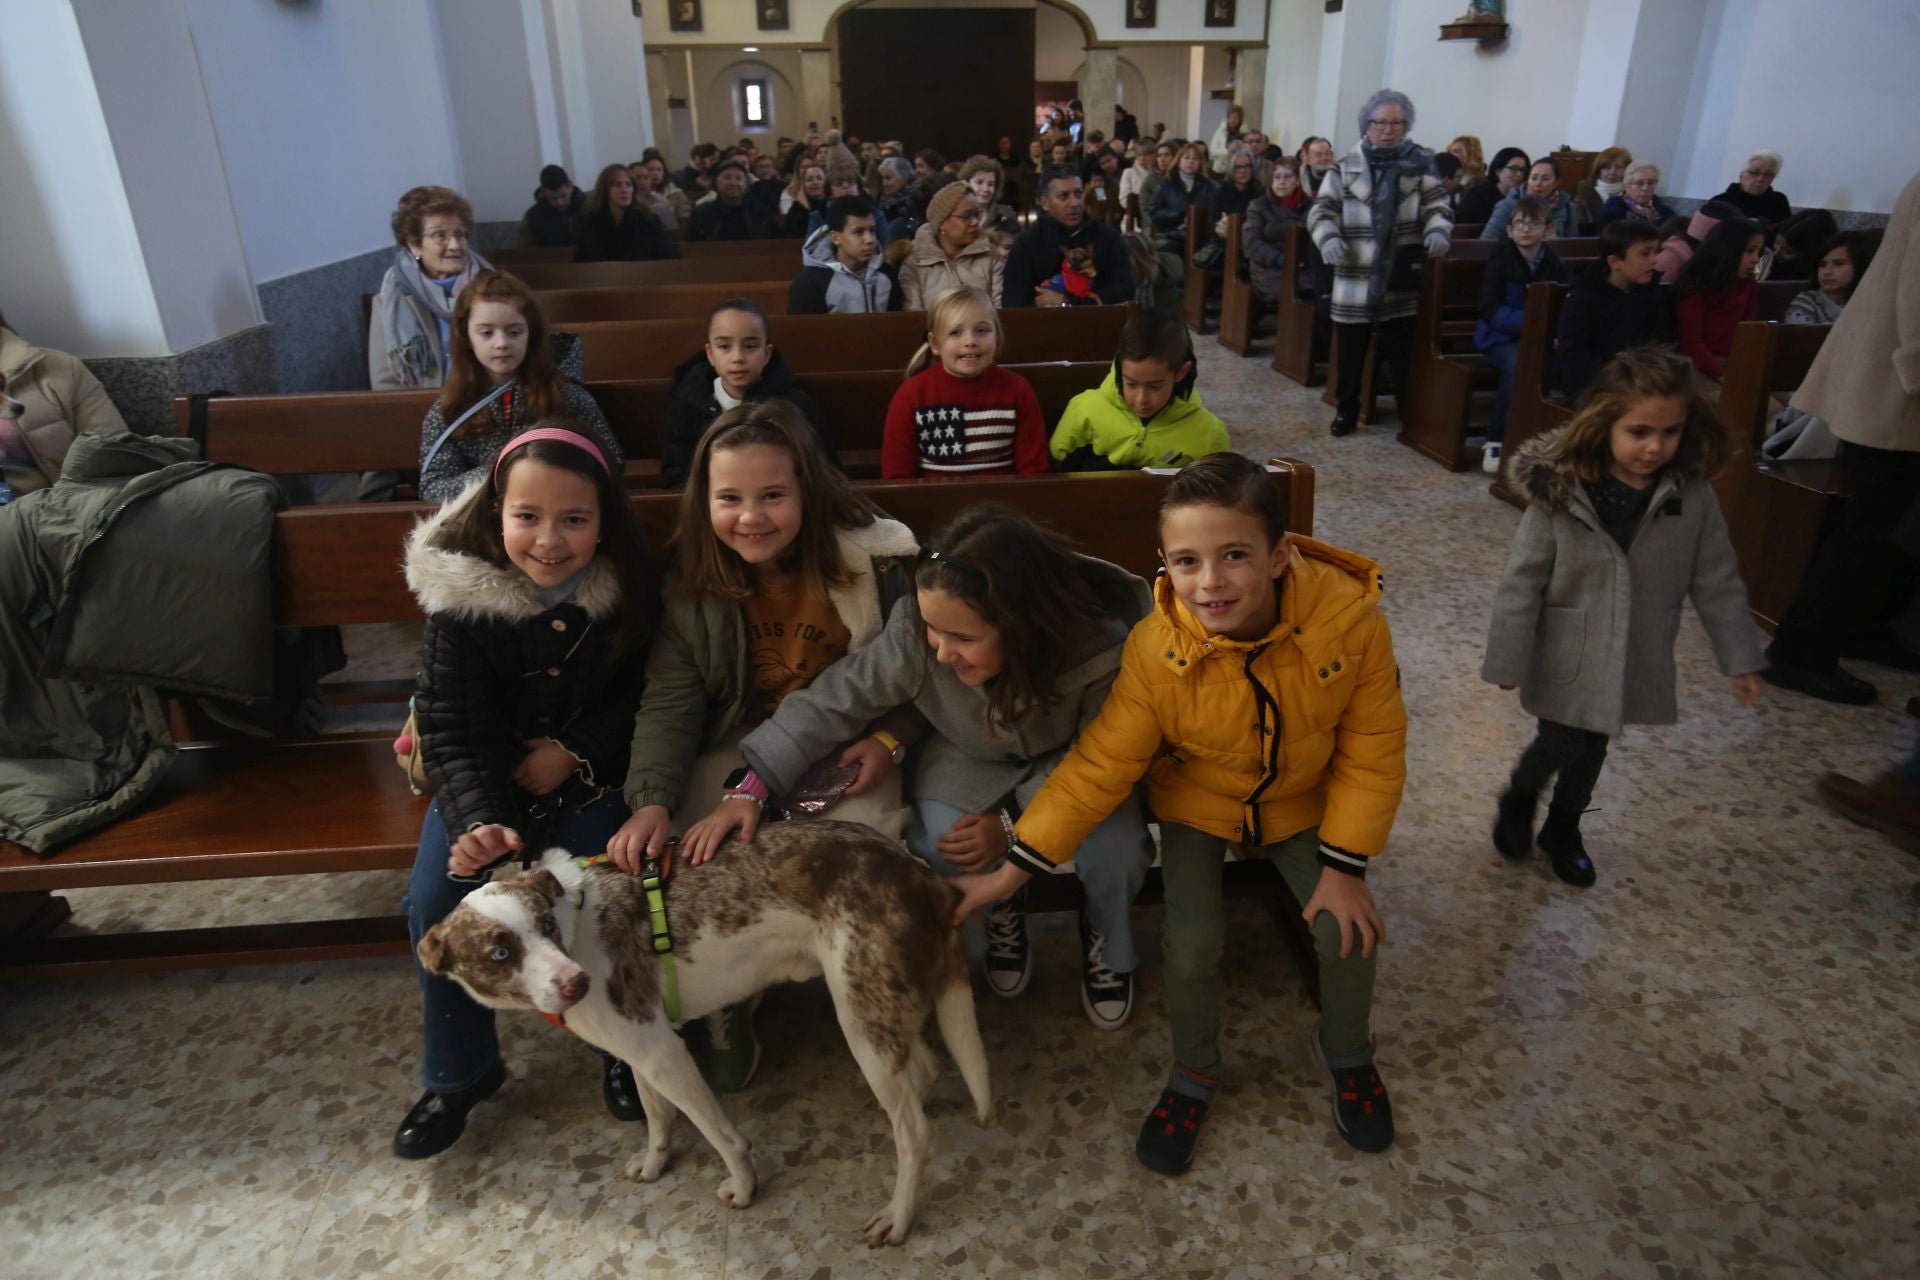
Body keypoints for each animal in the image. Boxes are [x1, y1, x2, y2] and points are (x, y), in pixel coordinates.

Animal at [420, 821, 990, 1251]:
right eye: (499, 952)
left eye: (544, 926)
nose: (575, 983)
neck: (574, 921)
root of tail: (922, 873)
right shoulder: (641, 1048)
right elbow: (657, 1116)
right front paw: (656, 1162)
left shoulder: (663, 1052)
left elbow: (718, 1133)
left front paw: (744, 1186)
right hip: (879, 1013)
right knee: (924, 1070)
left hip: (860, 1017)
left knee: (914, 1134)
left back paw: (899, 1215)